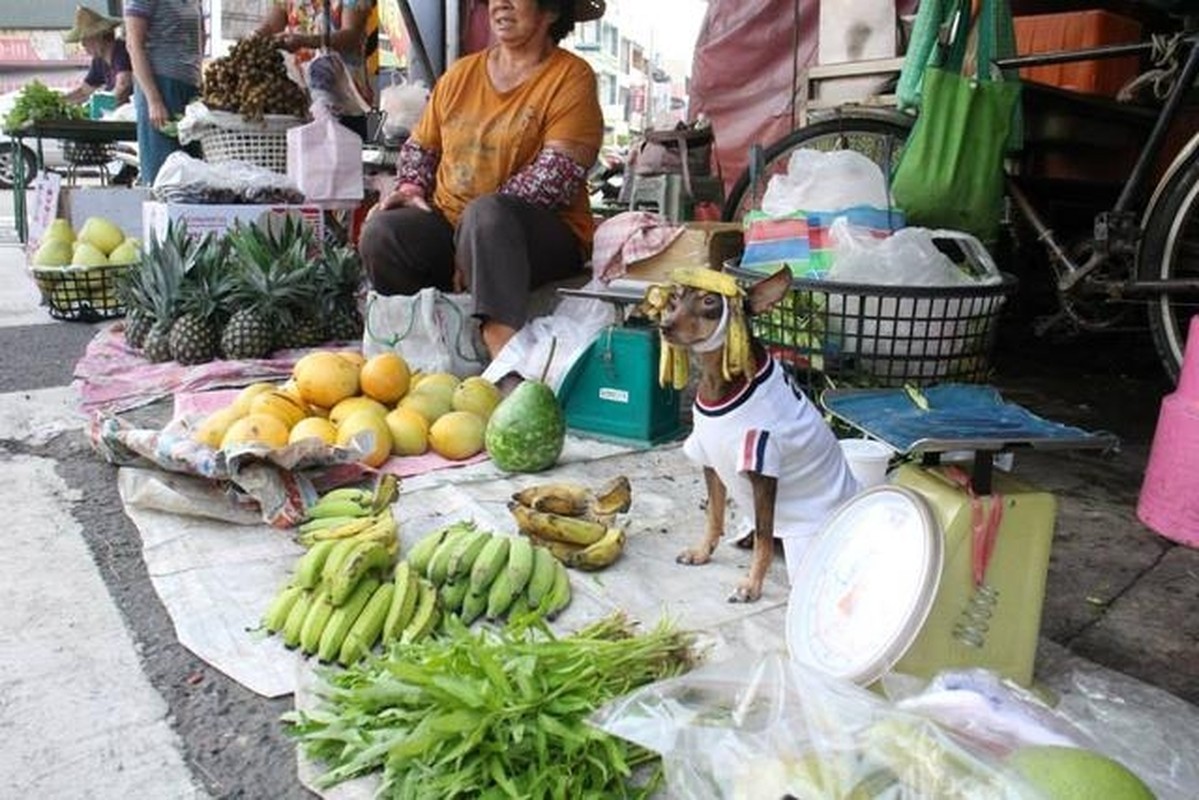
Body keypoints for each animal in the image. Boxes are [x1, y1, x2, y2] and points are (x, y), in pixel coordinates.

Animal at [652, 266, 858, 604]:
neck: (719, 382)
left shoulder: (763, 472)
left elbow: (764, 535)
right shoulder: (711, 462)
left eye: (709, 301)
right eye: (675, 298)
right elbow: (715, 516)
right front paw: (702, 552)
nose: (664, 326)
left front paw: (751, 585)